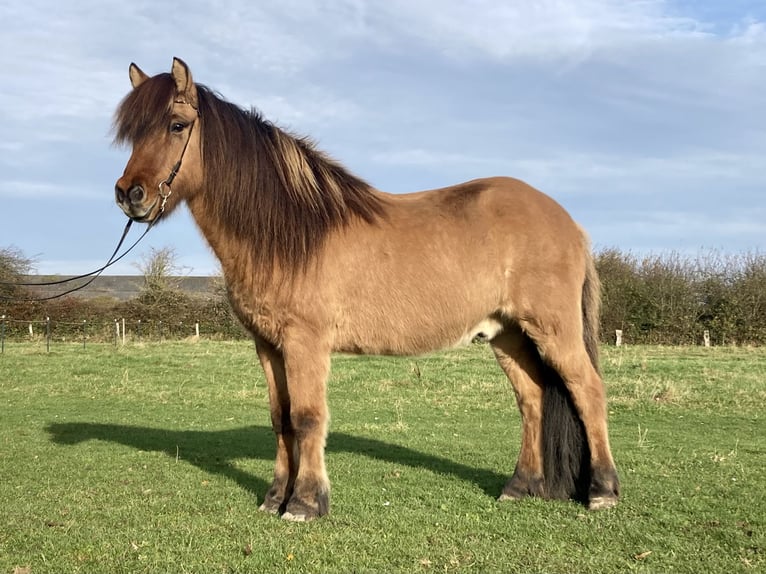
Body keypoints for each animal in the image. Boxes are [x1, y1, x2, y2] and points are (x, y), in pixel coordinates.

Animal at [113, 58, 619, 522]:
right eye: (133, 133)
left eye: (177, 125)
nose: (128, 194)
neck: (292, 233)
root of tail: (568, 221)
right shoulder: (268, 346)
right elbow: (280, 419)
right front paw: (275, 498)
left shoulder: (306, 343)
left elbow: (307, 417)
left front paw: (304, 503)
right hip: (508, 335)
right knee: (532, 400)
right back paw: (520, 486)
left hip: (552, 330)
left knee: (588, 391)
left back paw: (602, 491)